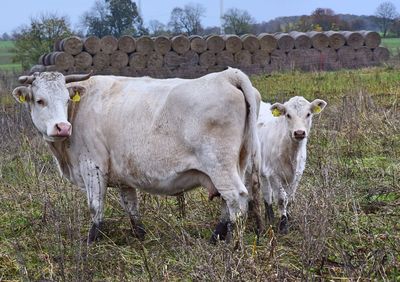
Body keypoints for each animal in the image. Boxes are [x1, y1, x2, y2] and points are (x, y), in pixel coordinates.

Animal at [12, 67, 260, 242]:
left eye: (66, 100)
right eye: (40, 100)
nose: (62, 127)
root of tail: (227, 75)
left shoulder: (93, 167)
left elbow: (95, 206)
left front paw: (90, 241)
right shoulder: (123, 174)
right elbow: (131, 206)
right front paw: (140, 235)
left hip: (219, 164)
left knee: (236, 198)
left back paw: (232, 243)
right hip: (238, 162)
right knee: (228, 203)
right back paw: (216, 237)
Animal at [255, 97, 326, 234]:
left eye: (308, 114)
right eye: (288, 115)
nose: (299, 133)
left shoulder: (297, 175)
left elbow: (290, 198)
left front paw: (288, 217)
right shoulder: (274, 174)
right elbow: (282, 199)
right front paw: (283, 225)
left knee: (267, 192)